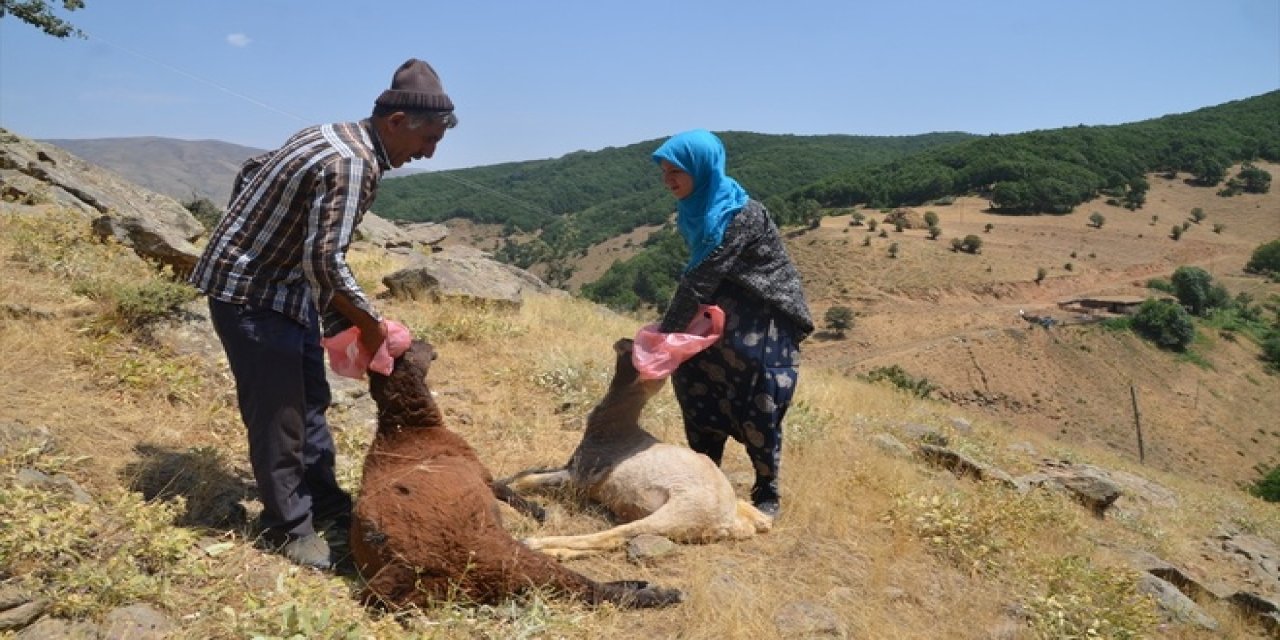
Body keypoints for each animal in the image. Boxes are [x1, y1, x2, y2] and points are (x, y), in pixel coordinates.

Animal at [345, 340, 675, 609]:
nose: (427, 343)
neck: (407, 429)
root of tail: (408, 567)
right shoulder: (483, 475)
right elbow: (508, 490)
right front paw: (538, 512)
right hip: (506, 555)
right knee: (584, 588)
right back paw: (656, 593)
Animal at [501, 337, 768, 558]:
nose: (623, 340)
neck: (618, 430)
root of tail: (728, 521)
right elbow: (528, 473)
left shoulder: (578, 476)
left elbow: (526, 480)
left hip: (673, 515)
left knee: (613, 535)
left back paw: (534, 543)